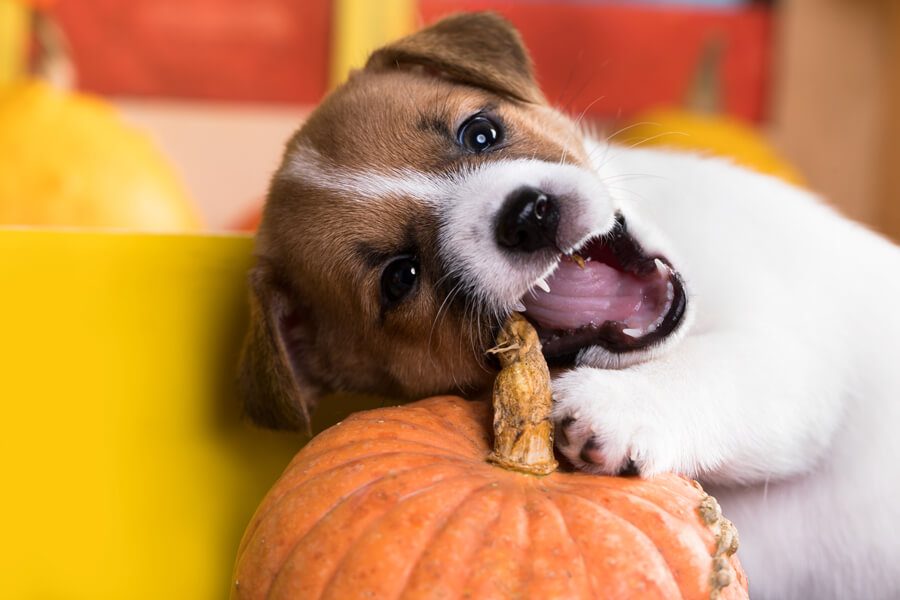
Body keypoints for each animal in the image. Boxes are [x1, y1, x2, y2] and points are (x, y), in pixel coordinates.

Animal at [237, 11, 900, 596]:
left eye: (480, 131)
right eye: (402, 277)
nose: (530, 216)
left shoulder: (795, 358)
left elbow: (719, 368)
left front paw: (618, 403)